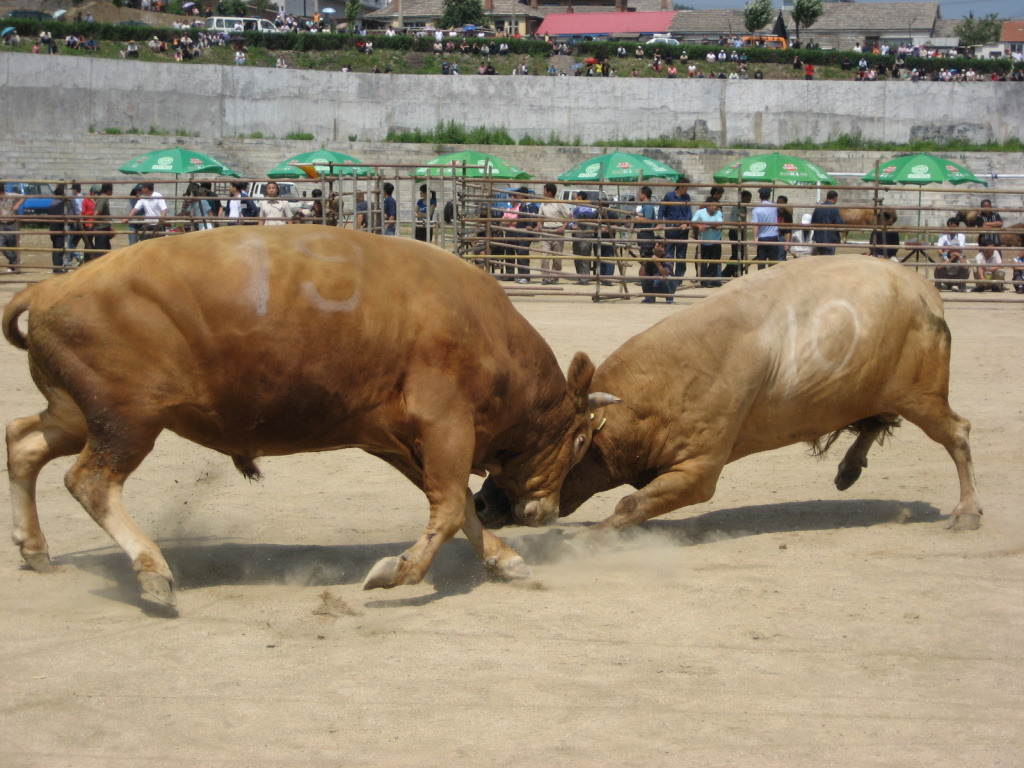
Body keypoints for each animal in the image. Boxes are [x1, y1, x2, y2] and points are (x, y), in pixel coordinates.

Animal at [479, 256, 983, 536]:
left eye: (567, 446)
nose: (481, 503)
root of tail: (922, 288)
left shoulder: (700, 471)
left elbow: (629, 505)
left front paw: (587, 540)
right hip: (877, 391)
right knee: (876, 421)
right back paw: (849, 468)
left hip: (921, 396)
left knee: (957, 434)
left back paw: (967, 511)